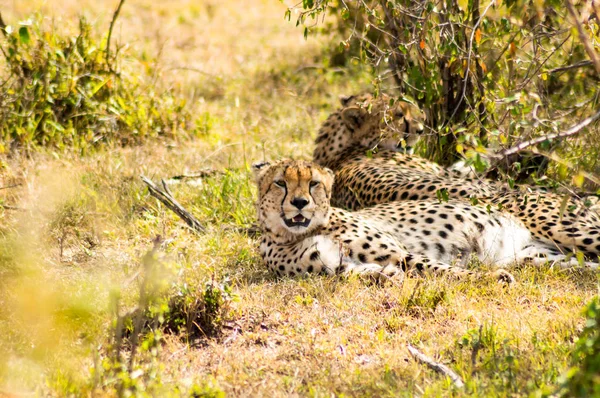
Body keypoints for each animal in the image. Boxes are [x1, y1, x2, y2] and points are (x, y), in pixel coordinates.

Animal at [252, 159, 596, 282]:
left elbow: (442, 269)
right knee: (582, 265)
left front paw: (489, 278)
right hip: (539, 256)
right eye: (281, 183)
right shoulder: (343, 267)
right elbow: (369, 274)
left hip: (571, 231)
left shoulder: (398, 253)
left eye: (313, 184)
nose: (300, 203)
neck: (293, 234)